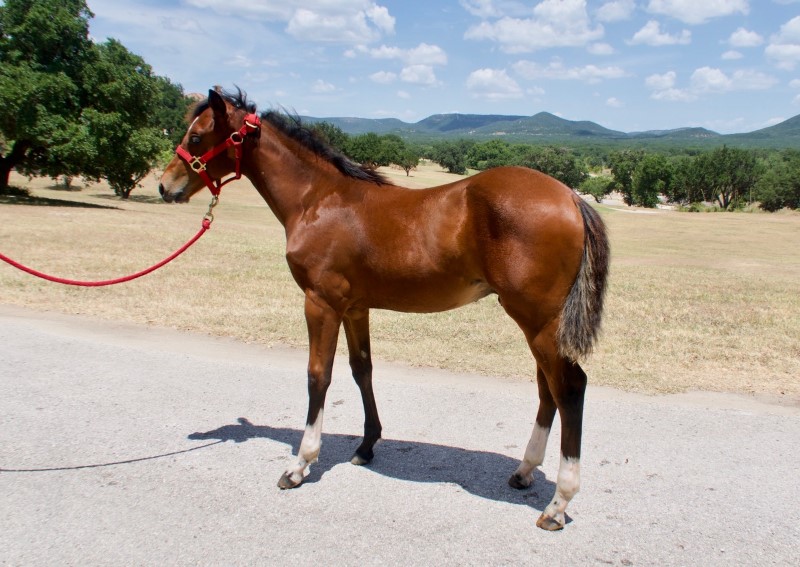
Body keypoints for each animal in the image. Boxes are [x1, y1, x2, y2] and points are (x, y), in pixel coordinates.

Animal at [159, 86, 608, 532]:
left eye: (196, 136)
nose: (166, 186)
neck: (317, 199)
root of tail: (571, 197)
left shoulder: (320, 303)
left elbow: (318, 376)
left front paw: (300, 464)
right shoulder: (355, 308)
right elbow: (362, 369)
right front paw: (367, 445)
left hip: (538, 320)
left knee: (569, 388)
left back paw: (557, 504)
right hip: (538, 324)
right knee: (547, 390)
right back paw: (524, 471)